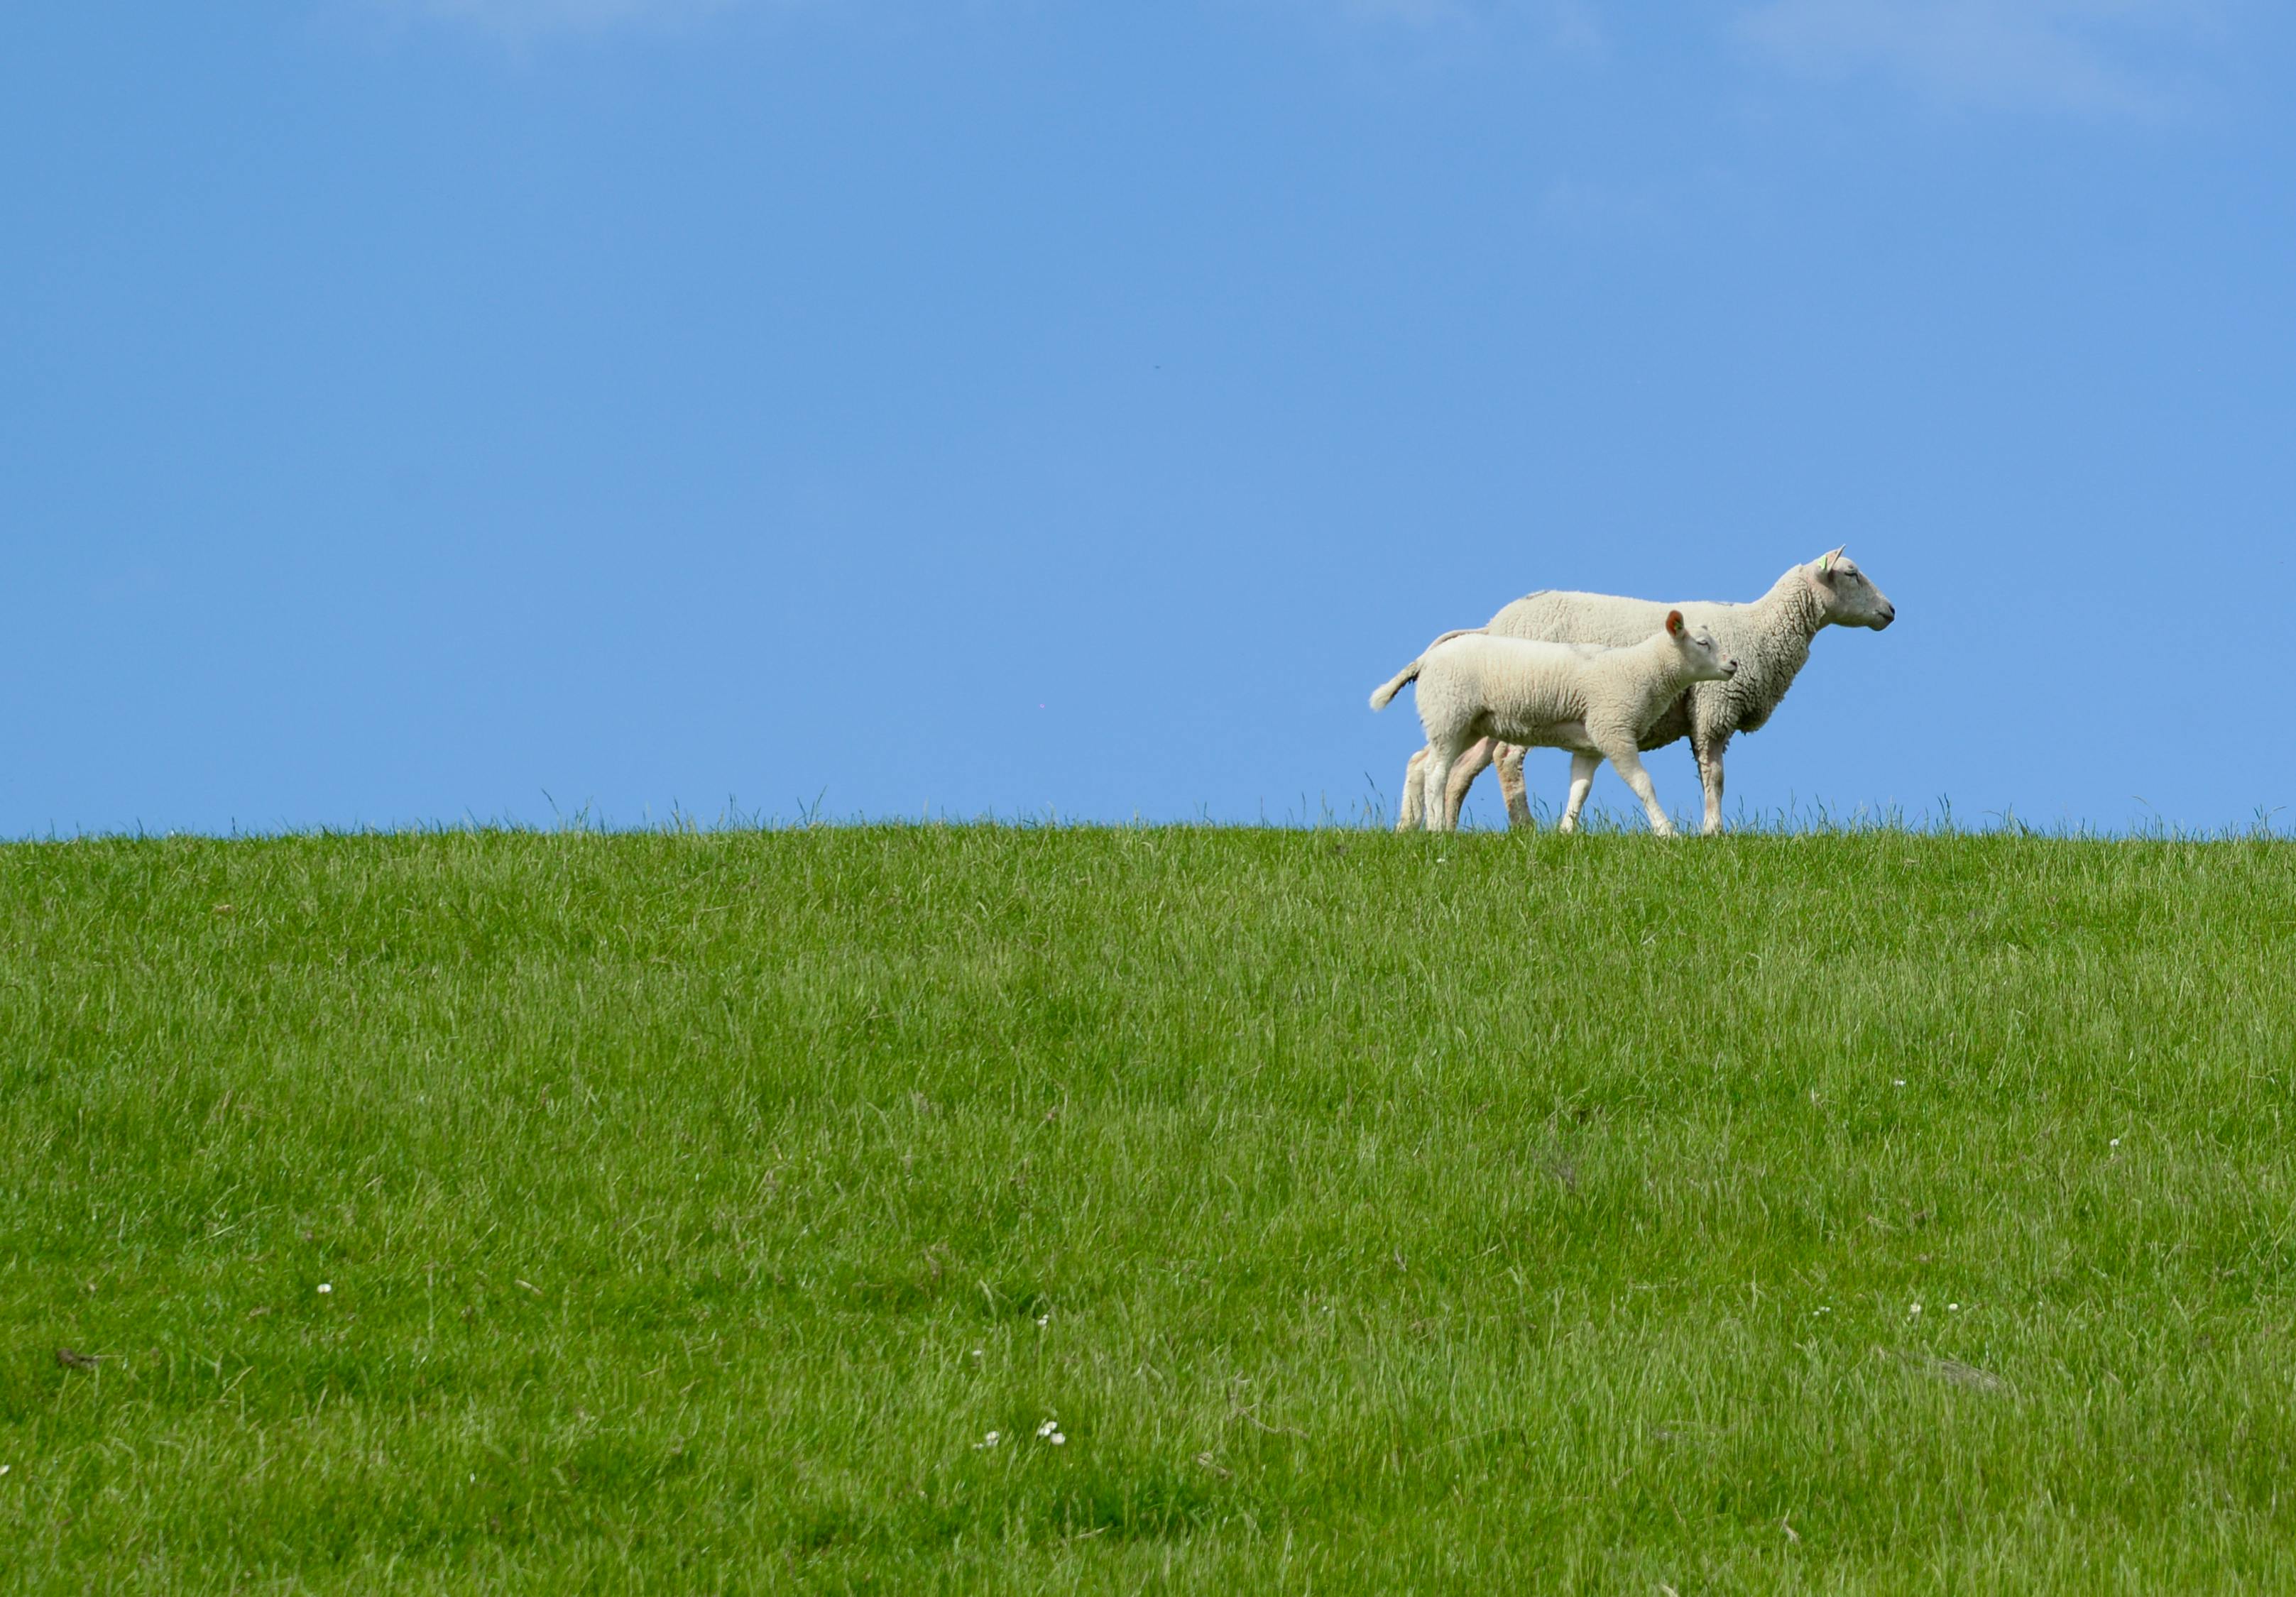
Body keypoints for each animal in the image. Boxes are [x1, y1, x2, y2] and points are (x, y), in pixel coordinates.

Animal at [1359, 610, 1735, 835]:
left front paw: (1566, 831)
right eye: (1703, 643)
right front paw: (1666, 830)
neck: (1641, 669)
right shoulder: (1613, 731)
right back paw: (1436, 827)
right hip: (1450, 713)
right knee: (1437, 771)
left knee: (1420, 763)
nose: (1733, 664)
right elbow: (1643, 784)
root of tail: (1426, 659)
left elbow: (1580, 788)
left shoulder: (1591, 744)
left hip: (1462, 724)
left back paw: (1408, 825)